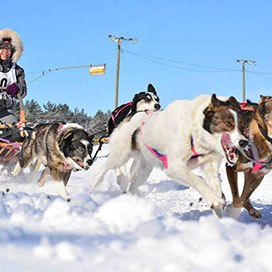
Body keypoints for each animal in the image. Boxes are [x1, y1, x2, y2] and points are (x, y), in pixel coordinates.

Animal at [92, 93, 248, 217]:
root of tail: (135, 114)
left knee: (133, 186)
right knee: (106, 167)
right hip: (120, 156)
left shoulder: (210, 166)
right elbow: (199, 181)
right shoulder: (175, 166)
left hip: (144, 170)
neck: (194, 129)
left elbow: (216, 186)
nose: (244, 142)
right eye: (228, 123)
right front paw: (214, 199)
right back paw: (94, 185)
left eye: (242, 125)